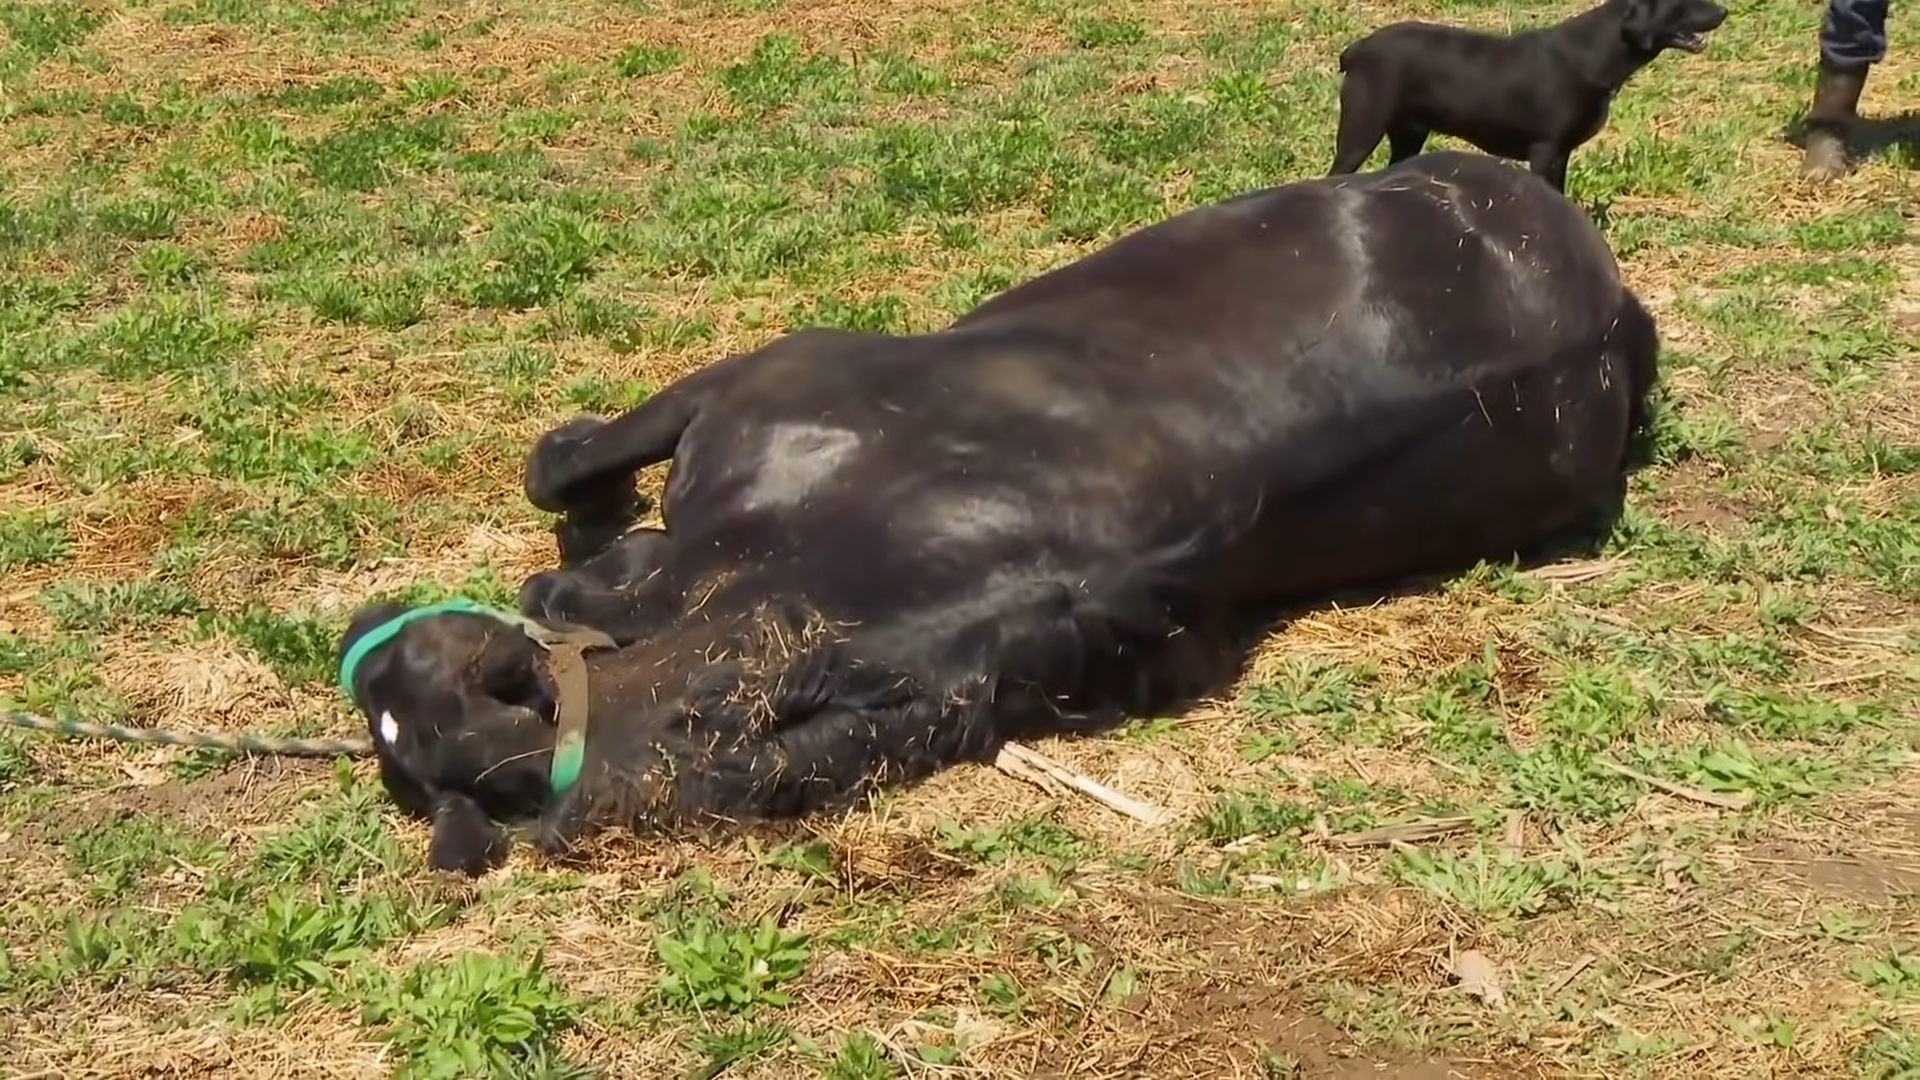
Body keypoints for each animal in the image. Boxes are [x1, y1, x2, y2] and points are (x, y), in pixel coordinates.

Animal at [1336, 0, 1728, 190]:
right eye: (1684, 0)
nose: (1725, 9)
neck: (1594, 52)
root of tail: (1358, 49)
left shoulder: (1562, 153)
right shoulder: (1545, 151)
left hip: (1409, 135)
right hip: (1360, 132)